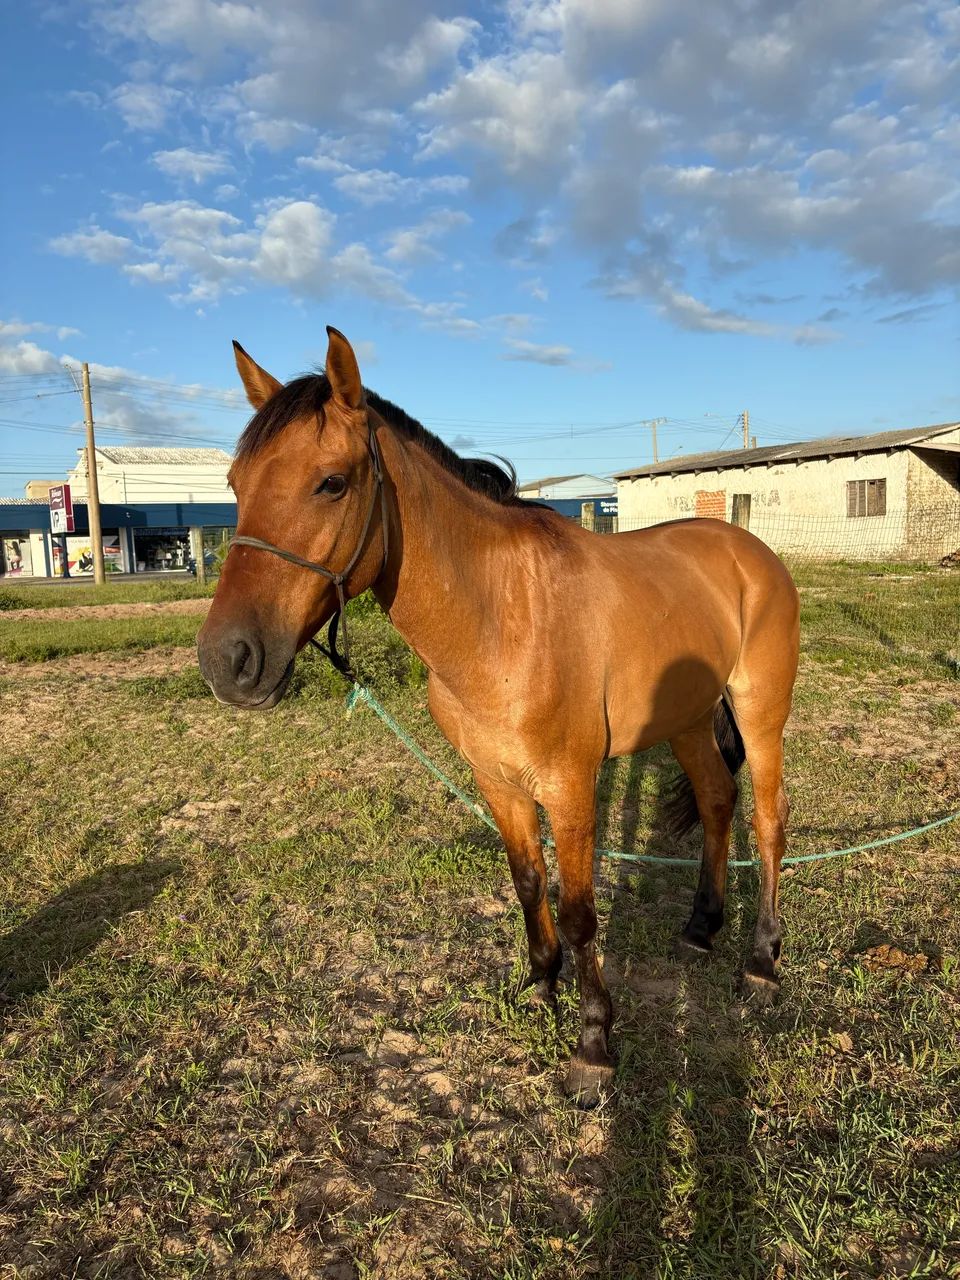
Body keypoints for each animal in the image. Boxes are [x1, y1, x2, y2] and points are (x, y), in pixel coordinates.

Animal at [198, 327, 800, 1105]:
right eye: (236, 485)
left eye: (331, 482)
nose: (228, 660)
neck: (502, 617)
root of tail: (750, 550)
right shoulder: (497, 780)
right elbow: (527, 883)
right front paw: (542, 988)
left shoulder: (569, 785)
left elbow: (579, 912)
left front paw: (594, 1045)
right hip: (690, 719)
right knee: (719, 800)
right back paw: (701, 926)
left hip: (759, 713)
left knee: (769, 820)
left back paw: (761, 963)